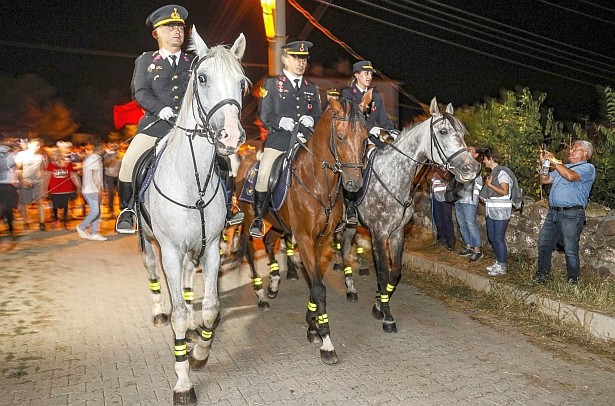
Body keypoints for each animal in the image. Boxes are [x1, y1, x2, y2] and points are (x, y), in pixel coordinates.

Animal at [138, 27, 247, 402]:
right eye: (201, 77)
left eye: (242, 82)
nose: (231, 136)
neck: (192, 179)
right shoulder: (170, 250)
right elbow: (180, 318)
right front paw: (183, 381)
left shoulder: (212, 246)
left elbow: (211, 307)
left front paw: (200, 352)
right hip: (147, 241)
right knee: (153, 271)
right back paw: (157, 310)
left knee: (187, 275)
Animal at [236, 90, 370, 364]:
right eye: (341, 136)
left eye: (365, 138)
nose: (354, 184)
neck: (319, 182)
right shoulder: (305, 238)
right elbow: (318, 288)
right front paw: (326, 340)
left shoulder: (322, 239)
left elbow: (315, 282)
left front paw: (312, 326)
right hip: (248, 219)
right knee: (249, 251)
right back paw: (261, 295)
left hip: (277, 223)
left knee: (268, 243)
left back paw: (274, 284)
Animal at [340, 97, 478, 334]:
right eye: (443, 131)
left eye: (462, 132)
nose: (471, 168)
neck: (394, 177)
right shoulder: (379, 233)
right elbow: (383, 271)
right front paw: (387, 316)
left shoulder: (397, 233)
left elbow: (395, 271)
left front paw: (380, 303)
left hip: (352, 224)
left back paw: (351, 285)